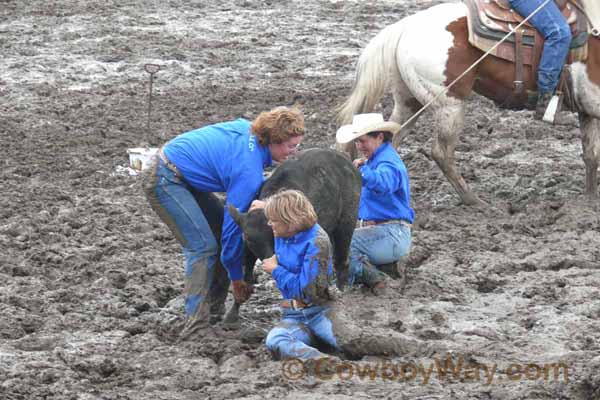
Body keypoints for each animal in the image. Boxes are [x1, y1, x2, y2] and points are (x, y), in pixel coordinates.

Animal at [338, 0, 600, 205]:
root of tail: (403, 27)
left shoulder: (589, 111)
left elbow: (591, 154)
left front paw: (589, 199)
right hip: (450, 104)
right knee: (441, 152)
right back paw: (474, 200)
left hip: (409, 102)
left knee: (390, 140)